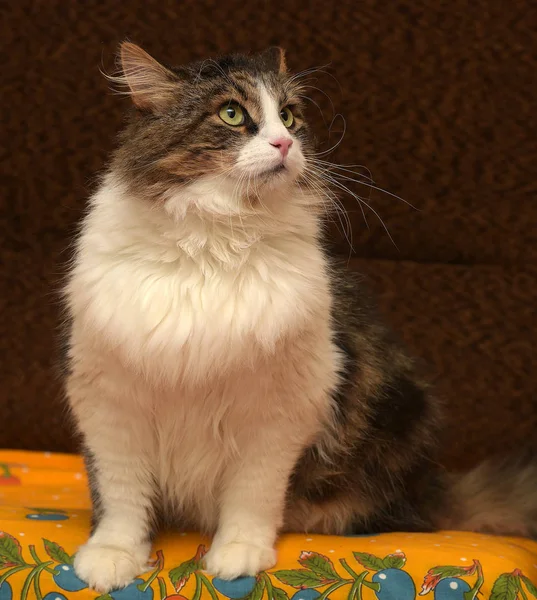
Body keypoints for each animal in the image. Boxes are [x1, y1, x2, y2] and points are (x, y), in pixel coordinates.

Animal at [63, 43, 536, 596]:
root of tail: (431, 487)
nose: (284, 142)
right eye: (232, 114)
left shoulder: (279, 412)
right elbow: (121, 499)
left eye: (288, 116)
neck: (215, 241)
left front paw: (238, 555)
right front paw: (112, 557)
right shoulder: (109, 402)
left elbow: (252, 496)